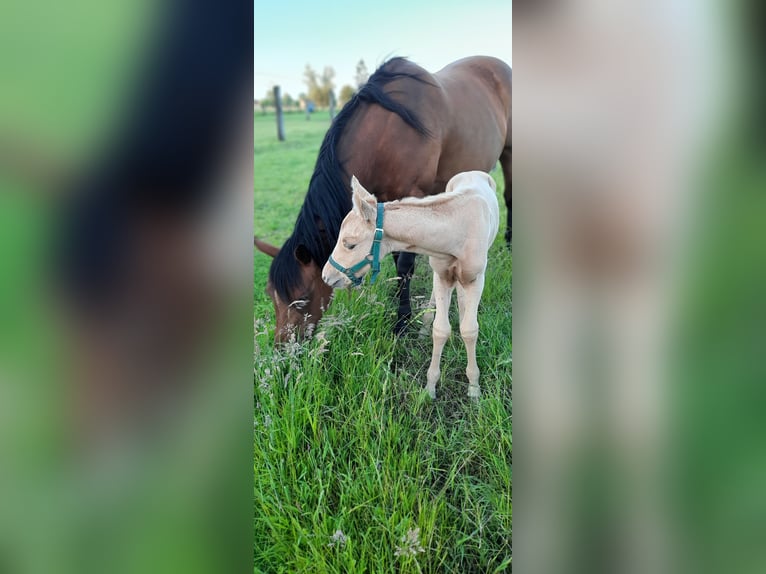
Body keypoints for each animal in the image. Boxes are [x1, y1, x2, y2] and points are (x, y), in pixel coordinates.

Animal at [255, 55, 512, 342]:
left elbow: (405, 265)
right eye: (271, 296)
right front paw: (399, 302)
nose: (284, 347)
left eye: (301, 298)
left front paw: (402, 321)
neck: (387, 133)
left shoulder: (413, 194)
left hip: (509, 153)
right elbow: (394, 254)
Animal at [320, 171, 500, 396]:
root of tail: (471, 172)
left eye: (350, 244)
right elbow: (440, 329)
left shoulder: (477, 279)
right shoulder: (441, 275)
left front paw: (474, 388)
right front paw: (430, 388)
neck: (457, 230)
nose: (326, 276)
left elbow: (470, 330)